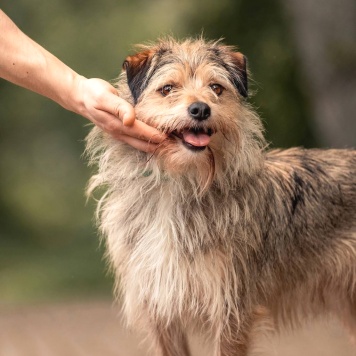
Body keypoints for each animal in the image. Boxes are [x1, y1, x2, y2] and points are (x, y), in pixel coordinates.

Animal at [84, 37, 356, 354]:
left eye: (216, 88)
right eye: (168, 88)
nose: (200, 109)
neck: (179, 183)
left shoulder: (231, 311)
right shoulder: (161, 312)